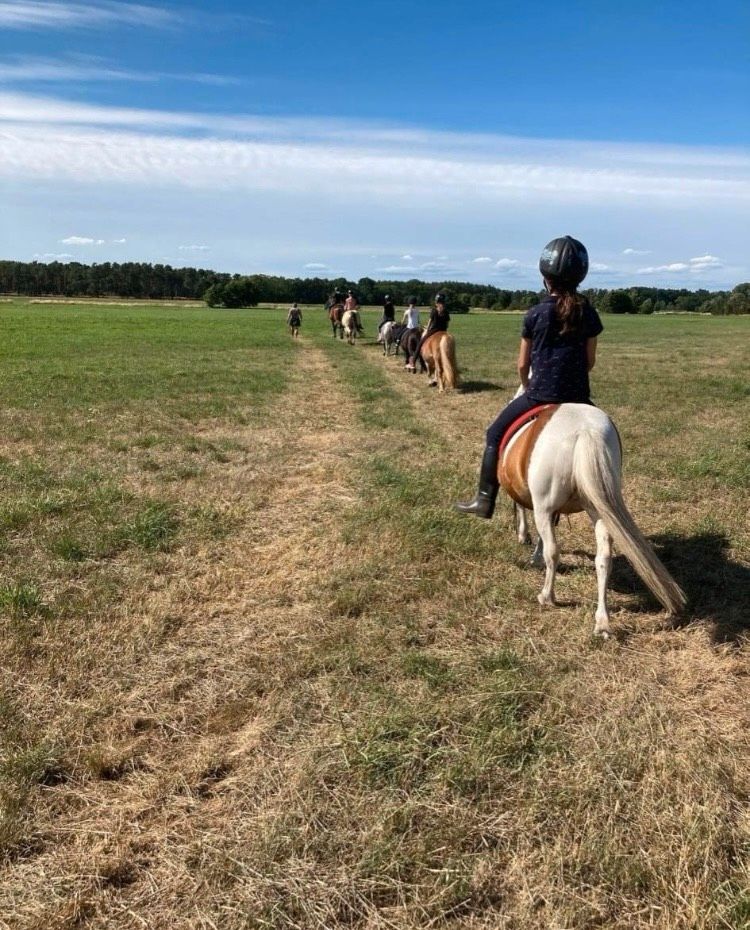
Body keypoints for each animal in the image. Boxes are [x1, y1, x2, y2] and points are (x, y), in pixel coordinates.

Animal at [500, 402, 688, 636]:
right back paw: (602, 622)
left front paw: (525, 540)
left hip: (545, 507)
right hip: (600, 511)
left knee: (553, 551)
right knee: (604, 558)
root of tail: (586, 430)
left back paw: (547, 597)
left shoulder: (542, 507)